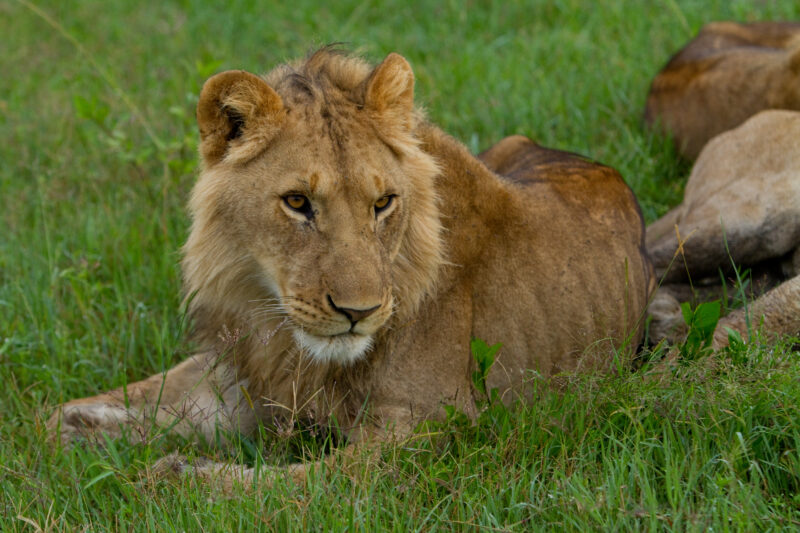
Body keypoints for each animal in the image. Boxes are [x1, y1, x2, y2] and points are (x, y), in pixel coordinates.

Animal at [47, 49, 652, 487]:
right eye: (297, 202)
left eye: (382, 203)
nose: (359, 312)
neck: (284, 338)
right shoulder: (250, 378)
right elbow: (146, 403)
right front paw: (72, 428)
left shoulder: (432, 430)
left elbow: (293, 485)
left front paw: (171, 476)